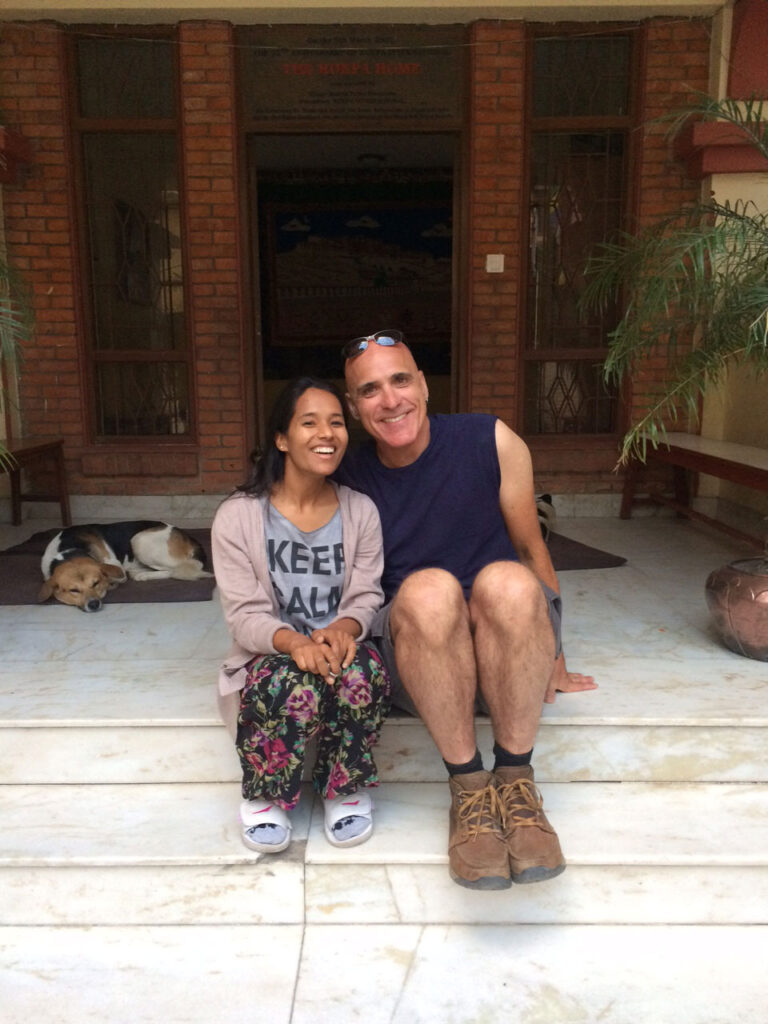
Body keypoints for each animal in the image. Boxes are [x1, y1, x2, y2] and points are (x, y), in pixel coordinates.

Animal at [38, 520, 211, 606]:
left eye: (95, 583)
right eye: (73, 590)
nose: (93, 604)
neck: (68, 550)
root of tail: (189, 538)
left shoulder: (115, 565)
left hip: (139, 540)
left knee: (180, 569)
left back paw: (143, 575)